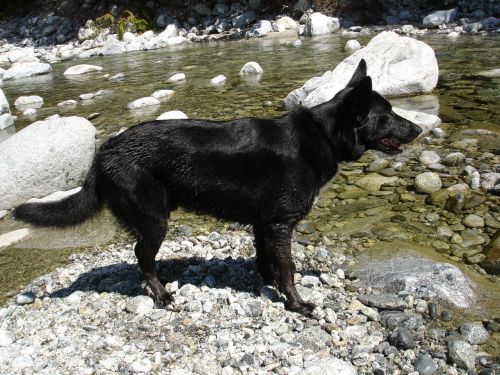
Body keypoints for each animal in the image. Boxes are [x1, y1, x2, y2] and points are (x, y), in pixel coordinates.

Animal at [13, 58, 422, 316]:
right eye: (387, 115)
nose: (418, 129)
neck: (320, 137)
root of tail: (102, 155)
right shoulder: (280, 226)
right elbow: (288, 268)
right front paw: (296, 303)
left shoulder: (265, 226)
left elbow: (268, 262)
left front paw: (268, 286)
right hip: (155, 221)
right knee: (141, 257)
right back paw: (161, 295)